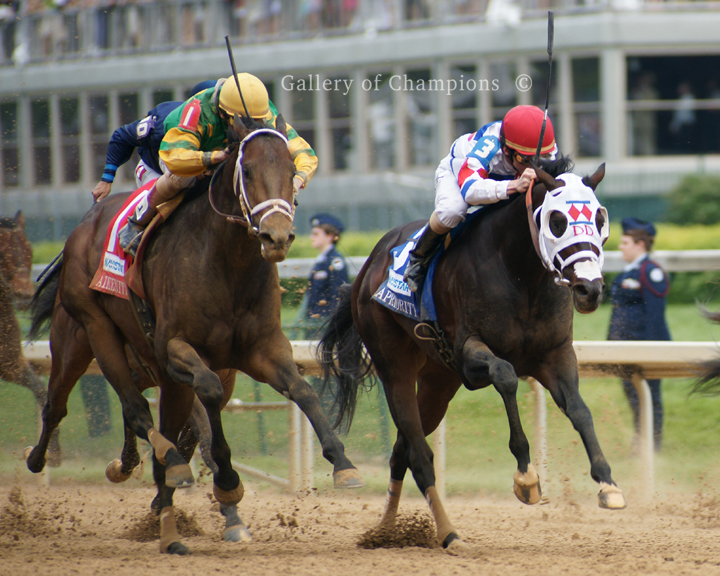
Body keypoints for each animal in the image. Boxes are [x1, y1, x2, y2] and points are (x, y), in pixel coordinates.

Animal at [26, 115, 363, 555]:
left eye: (293, 171)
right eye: (247, 170)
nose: (276, 237)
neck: (227, 262)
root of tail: (83, 225)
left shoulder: (262, 349)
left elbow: (303, 392)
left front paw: (344, 465)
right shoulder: (174, 349)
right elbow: (209, 401)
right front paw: (227, 483)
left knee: (154, 424)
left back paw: (157, 497)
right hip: (87, 334)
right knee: (91, 406)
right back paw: (44, 459)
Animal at [319, 158, 627, 553]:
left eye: (599, 217)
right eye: (557, 220)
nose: (590, 289)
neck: (521, 274)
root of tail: (368, 267)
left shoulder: (555, 355)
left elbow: (579, 410)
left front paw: (608, 484)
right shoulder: (468, 356)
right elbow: (506, 375)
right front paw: (526, 476)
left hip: (437, 383)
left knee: (402, 451)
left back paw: (386, 531)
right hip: (395, 366)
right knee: (419, 455)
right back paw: (449, 534)